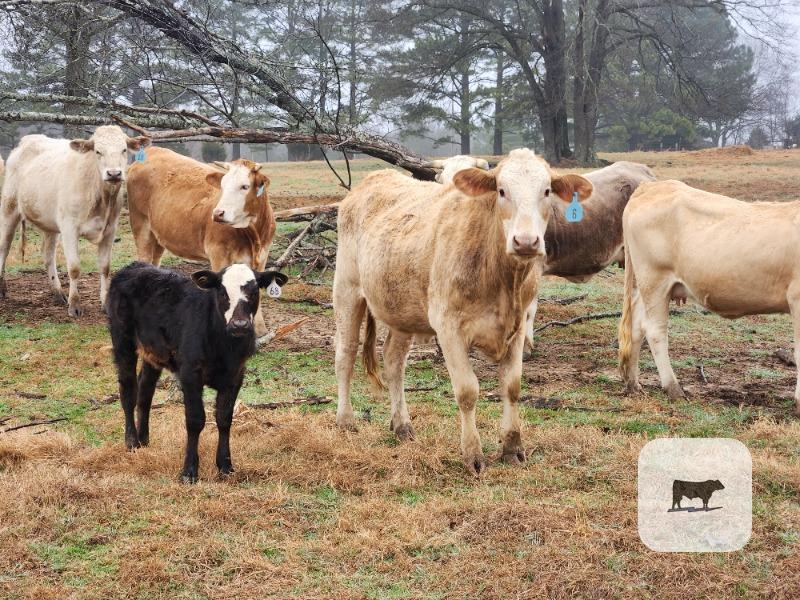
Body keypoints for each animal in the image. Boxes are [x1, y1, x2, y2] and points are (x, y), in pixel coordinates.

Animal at [0, 126, 150, 316]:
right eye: (97, 151)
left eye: (124, 150)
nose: (114, 173)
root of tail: (26, 141)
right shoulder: (69, 228)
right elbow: (74, 267)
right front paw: (75, 305)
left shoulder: (110, 229)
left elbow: (105, 267)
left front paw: (105, 303)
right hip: (9, 209)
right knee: (4, 248)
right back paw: (2, 288)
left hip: (49, 224)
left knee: (48, 256)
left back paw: (57, 293)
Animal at [107, 261, 288, 483]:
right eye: (222, 292)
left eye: (254, 292)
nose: (239, 325)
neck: (224, 347)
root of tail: (134, 266)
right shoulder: (190, 373)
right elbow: (195, 420)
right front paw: (189, 471)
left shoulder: (236, 375)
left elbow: (224, 419)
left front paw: (225, 465)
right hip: (122, 340)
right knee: (128, 391)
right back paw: (132, 442)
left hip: (154, 352)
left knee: (145, 392)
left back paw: (144, 439)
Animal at [126, 146, 277, 337]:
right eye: (222, 186)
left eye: (245, 186)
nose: (218, 213)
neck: (253, 235)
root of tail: (152, 149)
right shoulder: (219, 255)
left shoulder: (263, 256)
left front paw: (260, 330)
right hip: (140, 225)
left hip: (157, 235)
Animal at [334, 148, 593, 474]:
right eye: (501, 190)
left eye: (546, 191)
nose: (526, 241)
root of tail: (372, 179)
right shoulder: (449, 327)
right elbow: (468, 391)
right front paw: (473, 455)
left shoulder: (519, 327)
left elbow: (512, 386)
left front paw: (512, 448)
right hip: (347, 290)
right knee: (345, 356)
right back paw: (345, 420)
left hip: (401, 308)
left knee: (393, 361)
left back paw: (402, 426)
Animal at [619, 179, 800, 414]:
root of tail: (652, 186)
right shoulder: (797, 298)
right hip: (655, 279)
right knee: (655, 331)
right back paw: (674, 389)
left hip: (647, 287)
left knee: (636, 327)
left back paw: (633, 384)